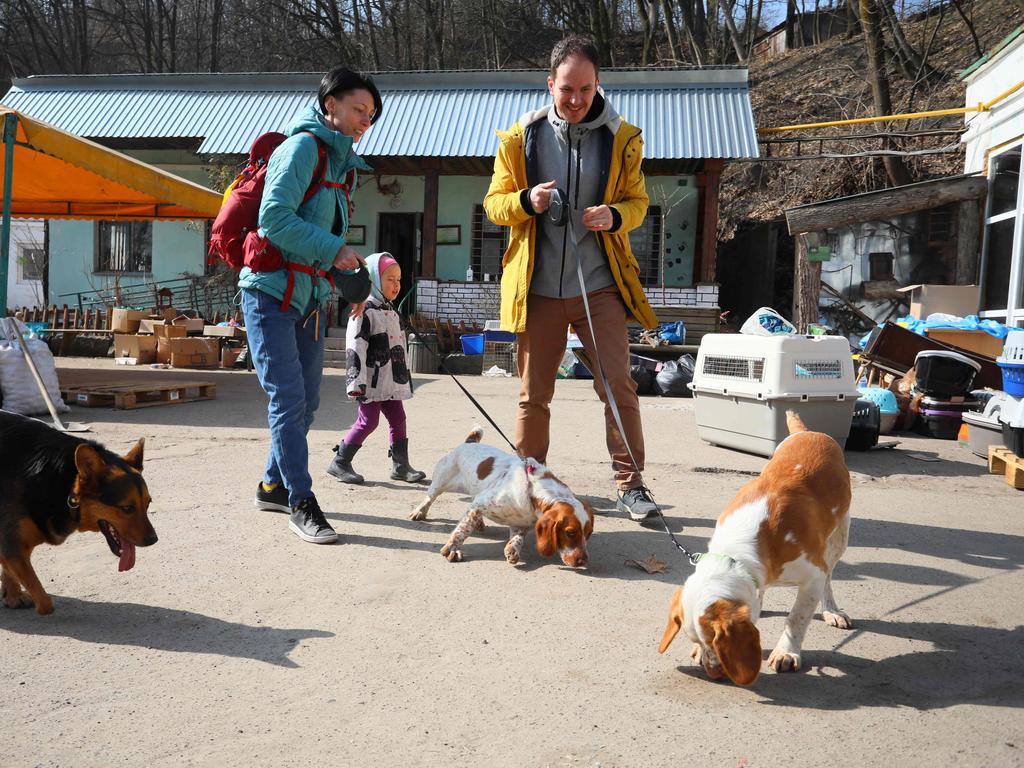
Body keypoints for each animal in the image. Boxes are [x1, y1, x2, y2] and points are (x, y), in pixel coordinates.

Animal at [0, 411, 155, 618]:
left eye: (148, 504)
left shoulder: (16, 542)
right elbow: (45, 602)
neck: (60, 479)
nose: (153, 540)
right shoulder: (14, 545)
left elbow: (9, 568)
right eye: (127, 508)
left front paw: (12, 595)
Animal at [411, 430, 598, 569]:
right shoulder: (481, 503)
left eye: (588, 533)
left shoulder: (521, 523)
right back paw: (419, 512)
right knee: (430, 497)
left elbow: (518, 538)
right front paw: (452, 549)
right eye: (570, 532)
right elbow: (462, 530)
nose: (584, 561)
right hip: (441, 482)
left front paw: (512, 550)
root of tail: (469, 442)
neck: (532, 491)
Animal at [659, 415, 851, 684]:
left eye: (716, 641)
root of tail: (808, 432)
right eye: (696, 639)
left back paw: (831, 610)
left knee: (830, 578)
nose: (712, 673)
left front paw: (786, 652)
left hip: (839, 539)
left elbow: (797, 617)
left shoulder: (813, 576)